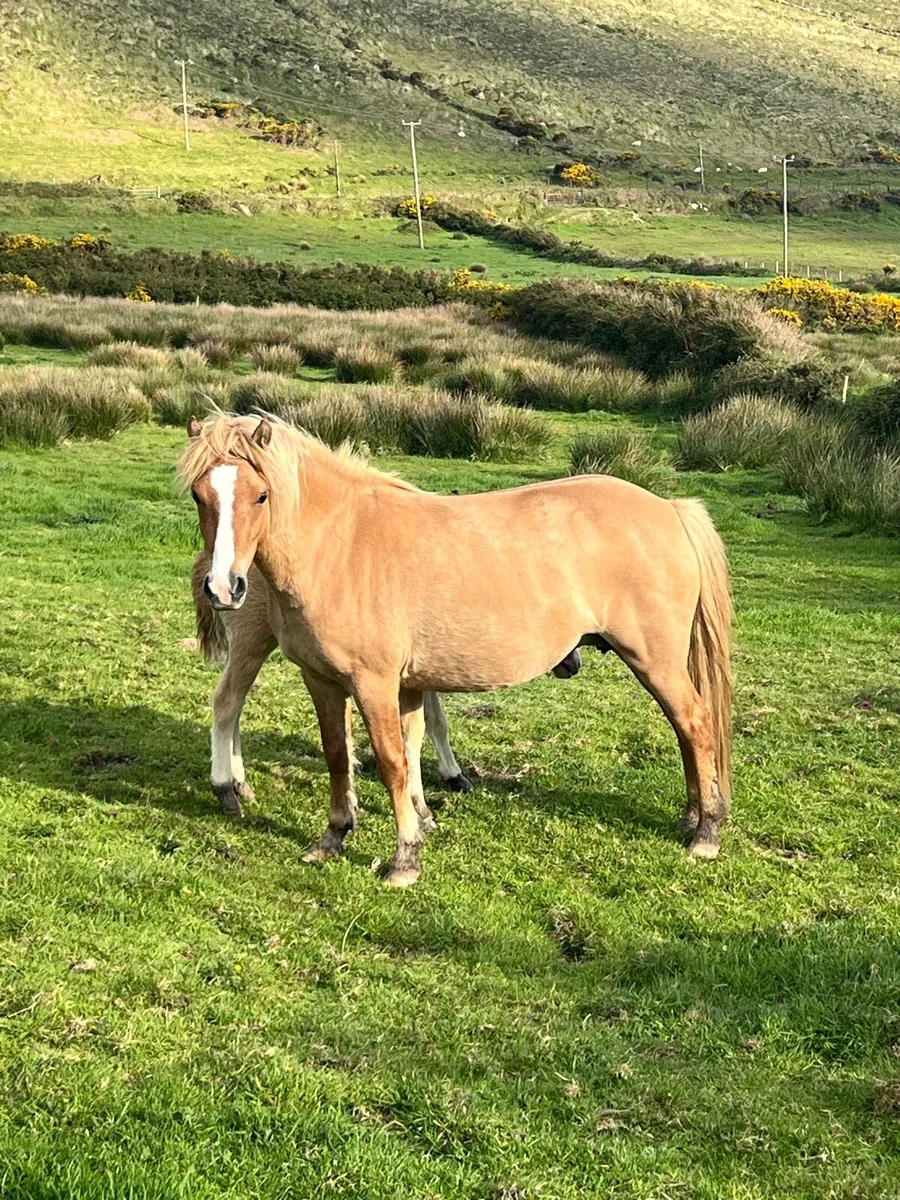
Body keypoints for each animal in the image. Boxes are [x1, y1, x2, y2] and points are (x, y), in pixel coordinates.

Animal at [181, 413, 732, 887]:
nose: (224, 587)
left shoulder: (374, 684)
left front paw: (405, 857)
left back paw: (705, 831)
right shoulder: (323, 680)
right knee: (684, 728)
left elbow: (393, 761)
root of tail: (669, 510)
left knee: (694, 723)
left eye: (261, 495)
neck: (341, 547)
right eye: (199, 495)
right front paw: (334, 836)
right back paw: (693, 816)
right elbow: (341, 755)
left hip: (654, 660)